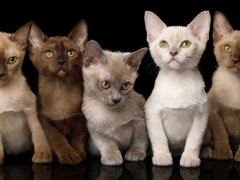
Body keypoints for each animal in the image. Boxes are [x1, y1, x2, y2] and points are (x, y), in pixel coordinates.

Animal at [27, 21, 88, 165]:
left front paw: (78, 153)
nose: (61, 61)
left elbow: (79, 135)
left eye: (70, 53)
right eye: (49, 53)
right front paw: (69, 155)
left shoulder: (82, 117)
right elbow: (57, 137)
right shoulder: (44, 119)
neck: (60, 89)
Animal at [144, 10, 210, 167]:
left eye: (185, 44)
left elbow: (194, 140)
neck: (177, 81)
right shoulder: (152, 112)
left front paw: (190, 158)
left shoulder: (202, 114)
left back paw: (207, 151)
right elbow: (159, 138)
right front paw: (162, 156)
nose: (173, 52)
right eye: (163, 44)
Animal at [202, 11, 240, 161]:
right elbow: (220, 133)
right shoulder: (213, 110)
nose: (235, 60)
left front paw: (239, 156)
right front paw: (222, 152)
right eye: (227, 48)